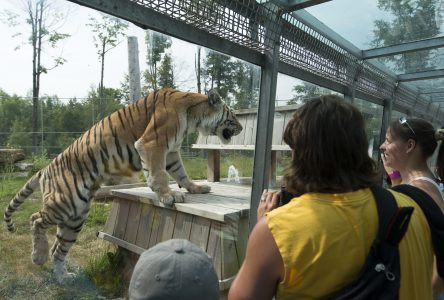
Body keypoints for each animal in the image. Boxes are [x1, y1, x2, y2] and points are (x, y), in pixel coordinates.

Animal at [2, 88, 243, 284]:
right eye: (232, 115)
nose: (241, 128)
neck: (193, 117)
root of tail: (45, 169)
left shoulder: (172, 152)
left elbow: (181, 174)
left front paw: (196, 189)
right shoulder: (153, 143)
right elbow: (159, 174)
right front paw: (168, 196)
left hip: (76, 217)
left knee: (58, 249)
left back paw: (63, 277)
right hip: (65, 203)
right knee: (35, 219)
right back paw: (38, 256)